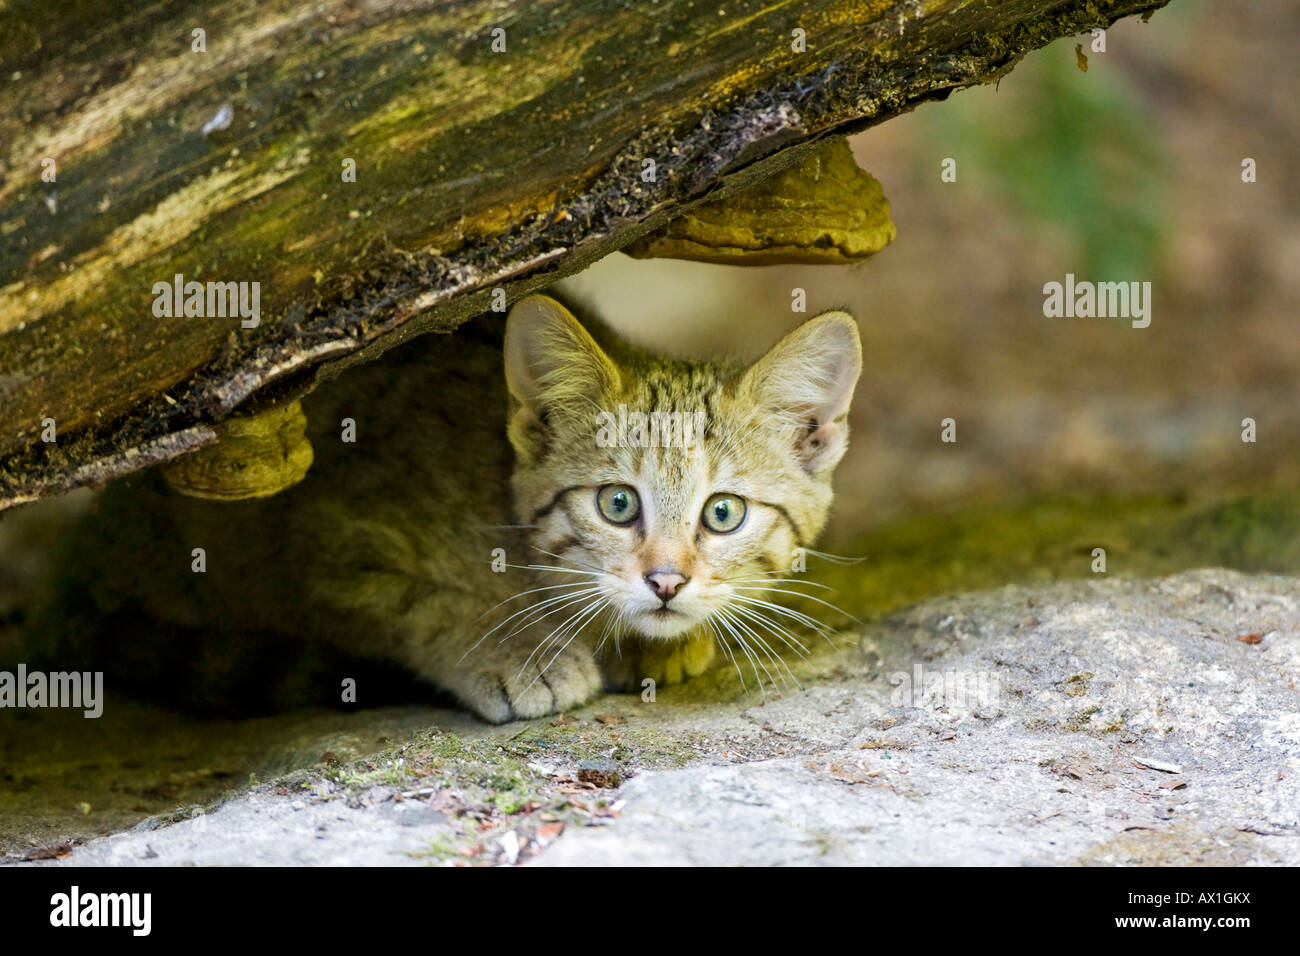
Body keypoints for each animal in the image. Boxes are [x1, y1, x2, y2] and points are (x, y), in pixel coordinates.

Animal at [53, 295, 863, 723]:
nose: (666, 582)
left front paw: (658, 641)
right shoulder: (322, 537)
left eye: (722, 514)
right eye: (617, 503)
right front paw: (517, 650)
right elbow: (422, 601)